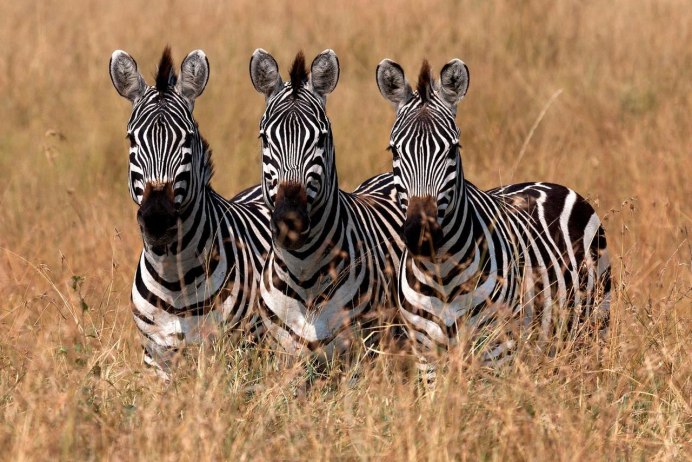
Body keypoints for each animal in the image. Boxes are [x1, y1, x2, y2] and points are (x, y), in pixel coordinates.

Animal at [109, 47, 271, 379]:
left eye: (187, 139)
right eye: (132, 140)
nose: (157, 219)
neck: (175, 278)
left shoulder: (230, 352)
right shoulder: (155, 357)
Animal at [248, 49, 404, 365]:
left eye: (321, 138)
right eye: (265, 138)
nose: (290, 221)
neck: (304, 273)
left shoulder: (362, 354)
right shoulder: (285, 357)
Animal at [376, 58, 611, 380]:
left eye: (453, 149)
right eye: (394, 150)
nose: (421, 234)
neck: (440, 273)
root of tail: (553, 185)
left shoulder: (495, 352)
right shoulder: (427, 357)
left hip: (593, 326)